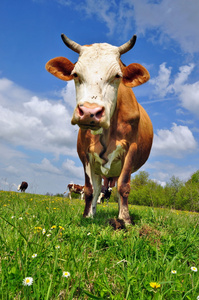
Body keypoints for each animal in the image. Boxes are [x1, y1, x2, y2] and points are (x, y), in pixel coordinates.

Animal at [45, 33, 153, 225]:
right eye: (75, 74)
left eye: (117, 75)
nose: (89, 112)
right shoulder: (86, 154)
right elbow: (90, 189)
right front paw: (88, 215)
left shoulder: (130, 149)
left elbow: (124, 187)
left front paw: (126, 220)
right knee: (98, 188)